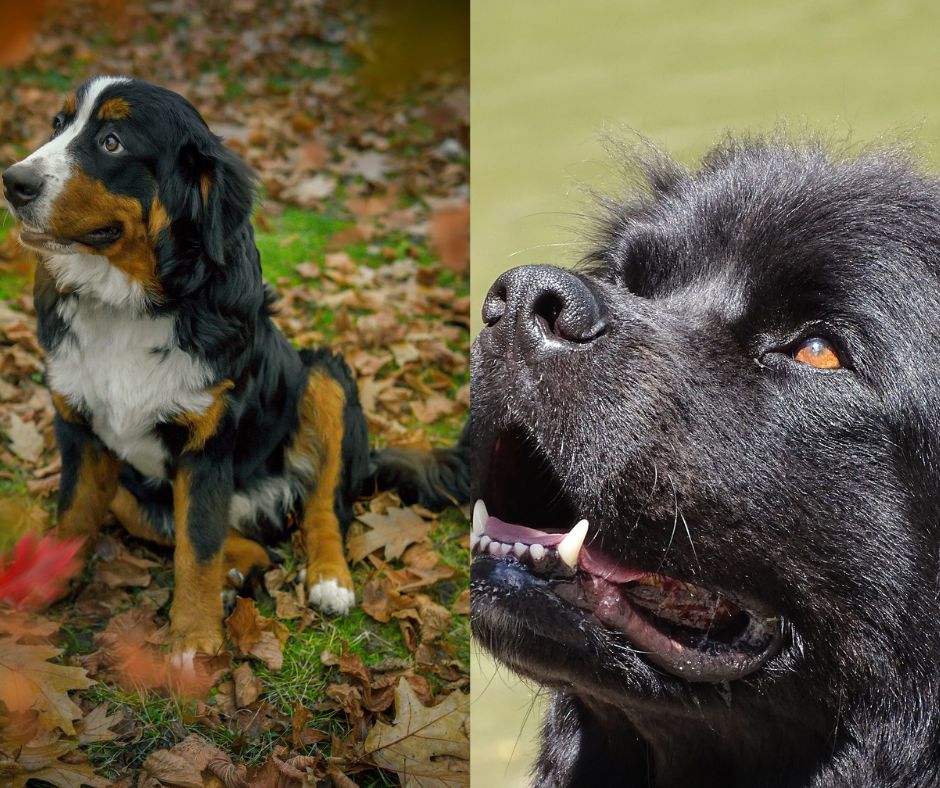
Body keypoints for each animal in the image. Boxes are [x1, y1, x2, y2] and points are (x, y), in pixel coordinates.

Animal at [1, 78, 468, 660]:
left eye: (112, 142)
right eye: (57, 125)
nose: (12, 181)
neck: (127, 307)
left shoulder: (206, 445)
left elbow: (197, 551)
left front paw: (193, 644)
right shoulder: (79, 429)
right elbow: (77, 516)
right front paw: (45, 584)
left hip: (325, 378)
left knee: (323, 507)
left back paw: (328, 578)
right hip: (134, 491)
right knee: (244, 542)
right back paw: (237, 574)